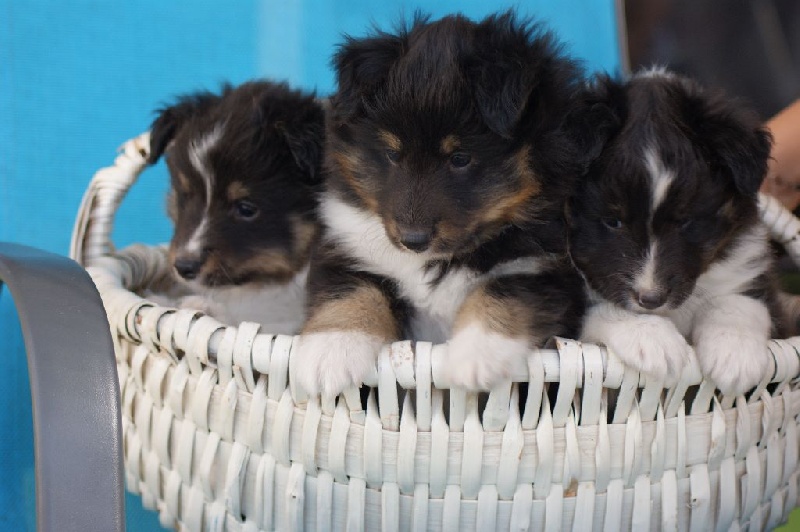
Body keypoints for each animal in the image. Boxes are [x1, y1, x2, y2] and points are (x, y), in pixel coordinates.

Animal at [564, 68, 784, 394]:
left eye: (686, 221)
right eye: (613, 221)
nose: (650, 300)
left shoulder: (746, 262)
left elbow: (739, 299)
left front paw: (735, 353)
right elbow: (601, 304)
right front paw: (652, 338)